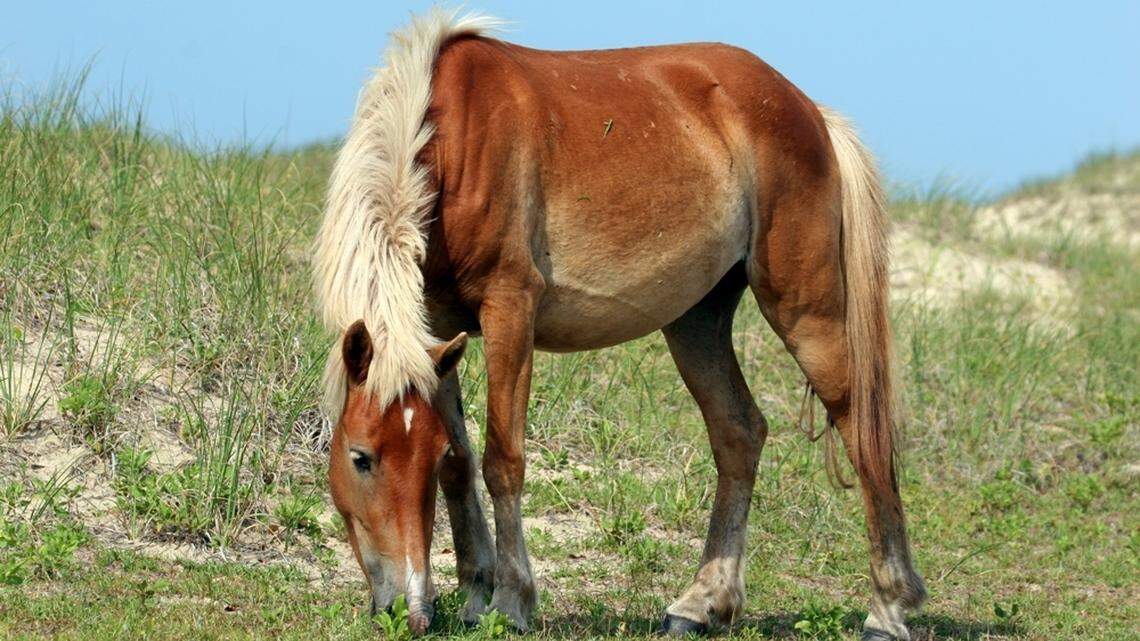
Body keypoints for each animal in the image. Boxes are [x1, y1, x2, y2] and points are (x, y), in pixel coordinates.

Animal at [314, 9, 926, 640]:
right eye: (361, 456)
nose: (408, 611)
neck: (450, 142)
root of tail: (809, 112)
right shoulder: (435, 326)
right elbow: (463, 465)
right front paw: (474, 593)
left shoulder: (510, 308)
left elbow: (502, 461)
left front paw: (511, 601)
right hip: (696, 321)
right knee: (739, 433)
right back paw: (701, 603)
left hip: (806, 311)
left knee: (863, 435)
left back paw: (888, 608)